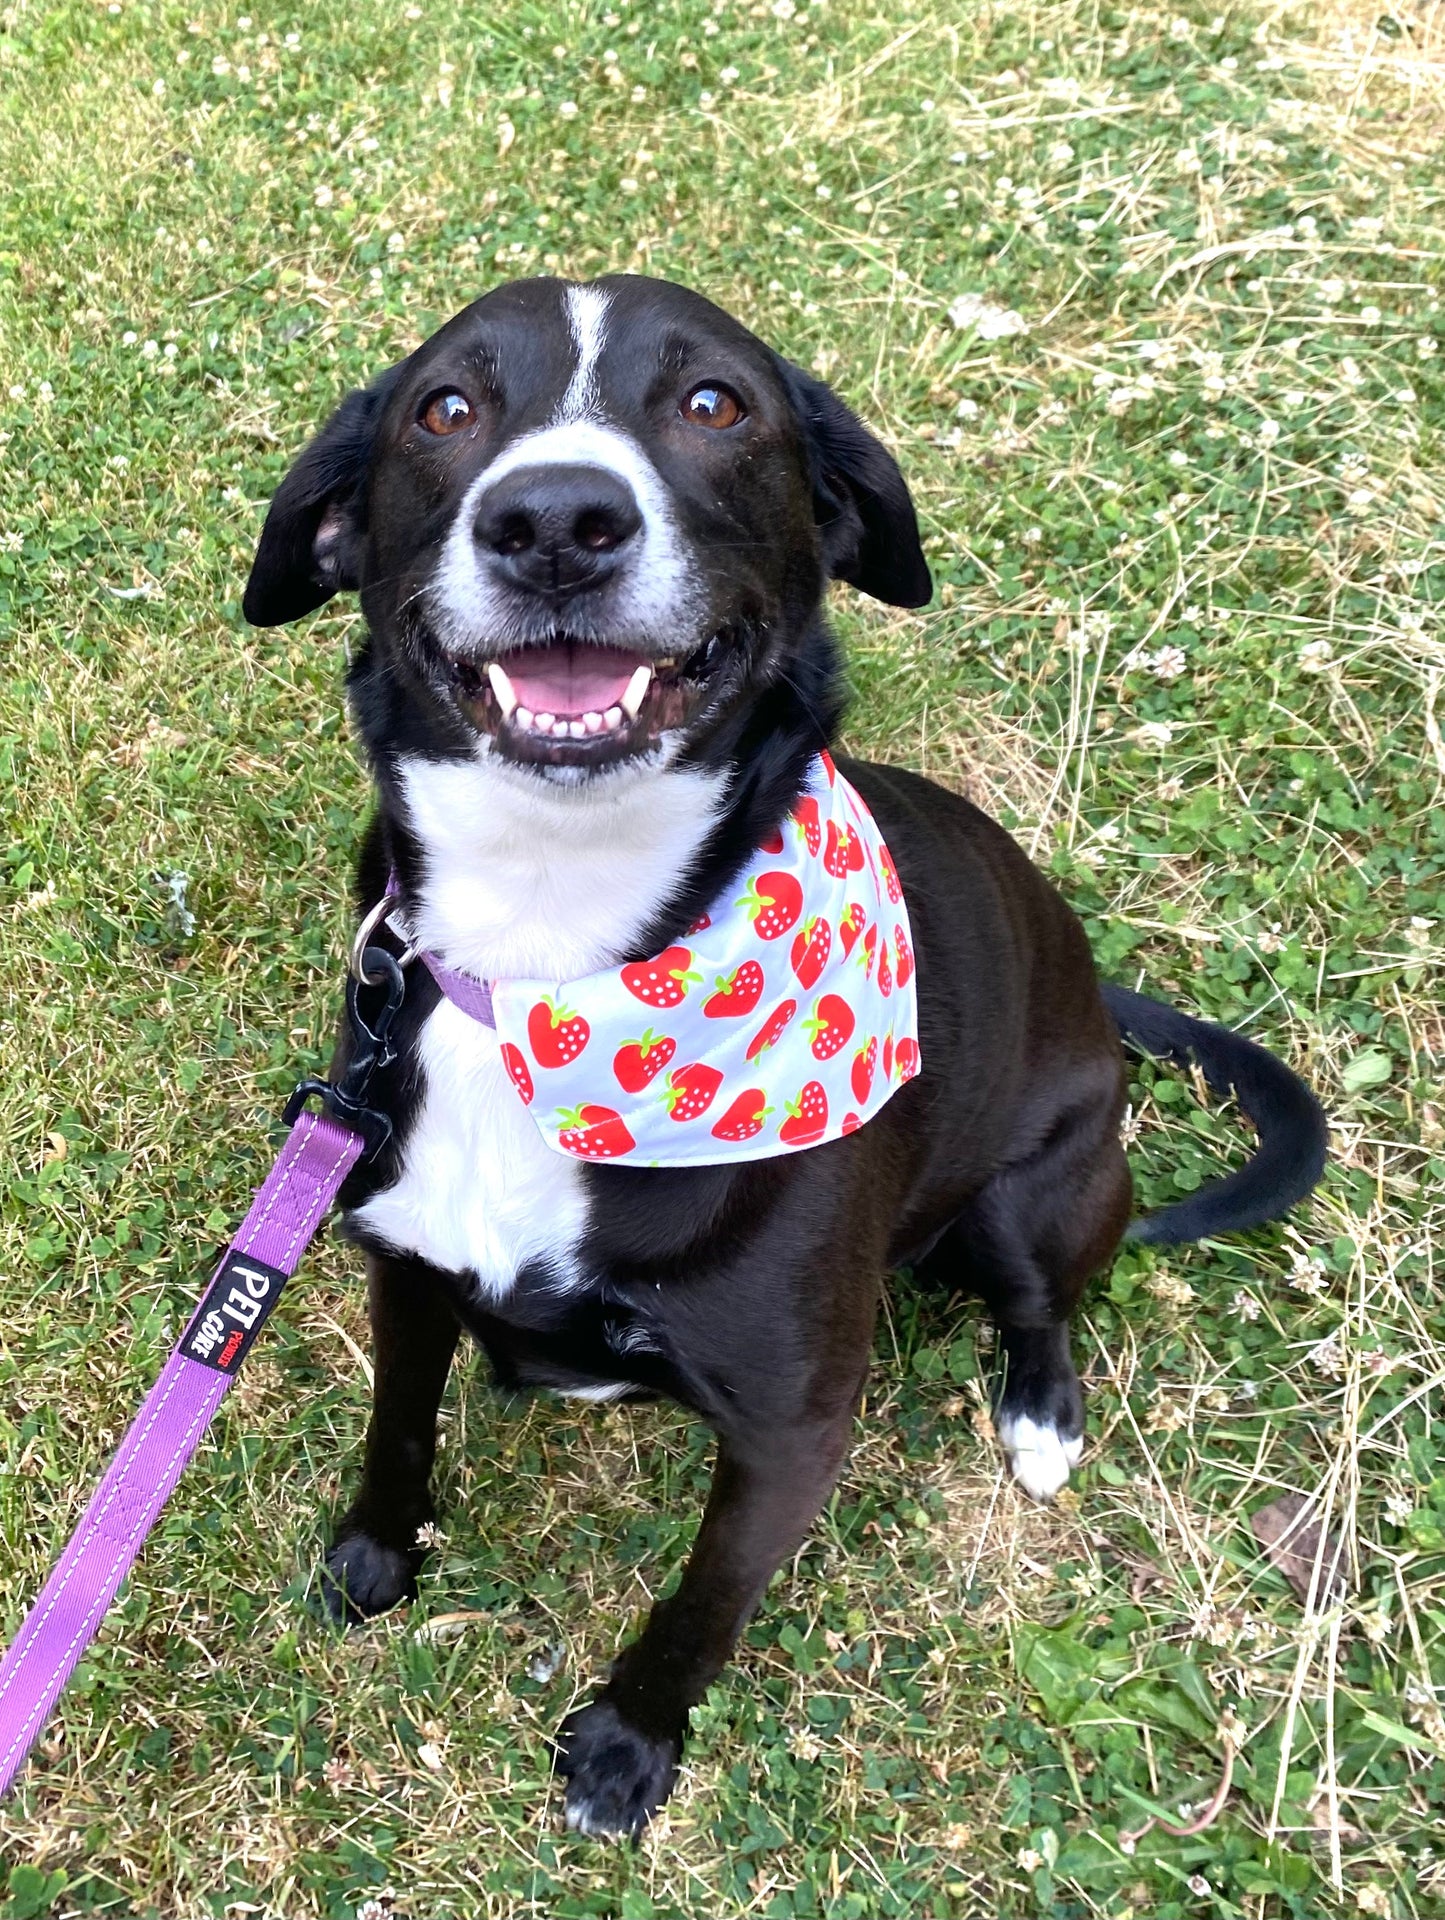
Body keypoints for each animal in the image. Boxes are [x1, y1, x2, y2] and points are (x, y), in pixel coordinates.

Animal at [242, 278, 1327, 1835]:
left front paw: (626, 1749)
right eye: (444, 408)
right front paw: (378, 1558)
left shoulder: (791, 1426)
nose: (555, 520)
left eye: (713, 404)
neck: (553, 965)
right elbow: (398, 1430)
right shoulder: (403, 1262)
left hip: (1036, 1191)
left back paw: (1040, 1417)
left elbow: (701, 1605)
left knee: (1046, 1303)